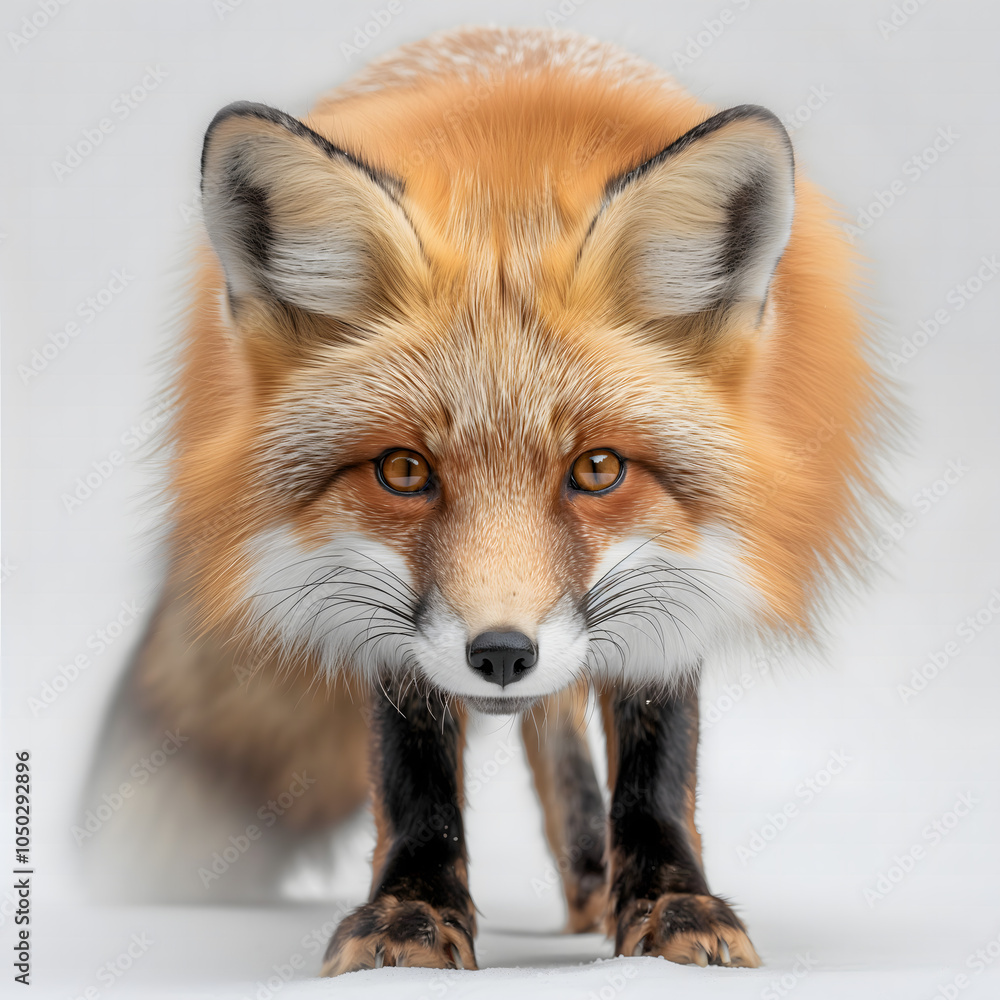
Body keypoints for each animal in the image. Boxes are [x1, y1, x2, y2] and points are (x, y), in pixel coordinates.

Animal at [82, 26, 893, 975]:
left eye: (598, 469)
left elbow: (657, 767)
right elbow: (413, 771)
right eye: (403, 472)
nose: (501, 654)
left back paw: (592, 878)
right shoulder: (384, 615)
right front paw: (412, 911)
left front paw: (669, 903)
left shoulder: (690, 571)